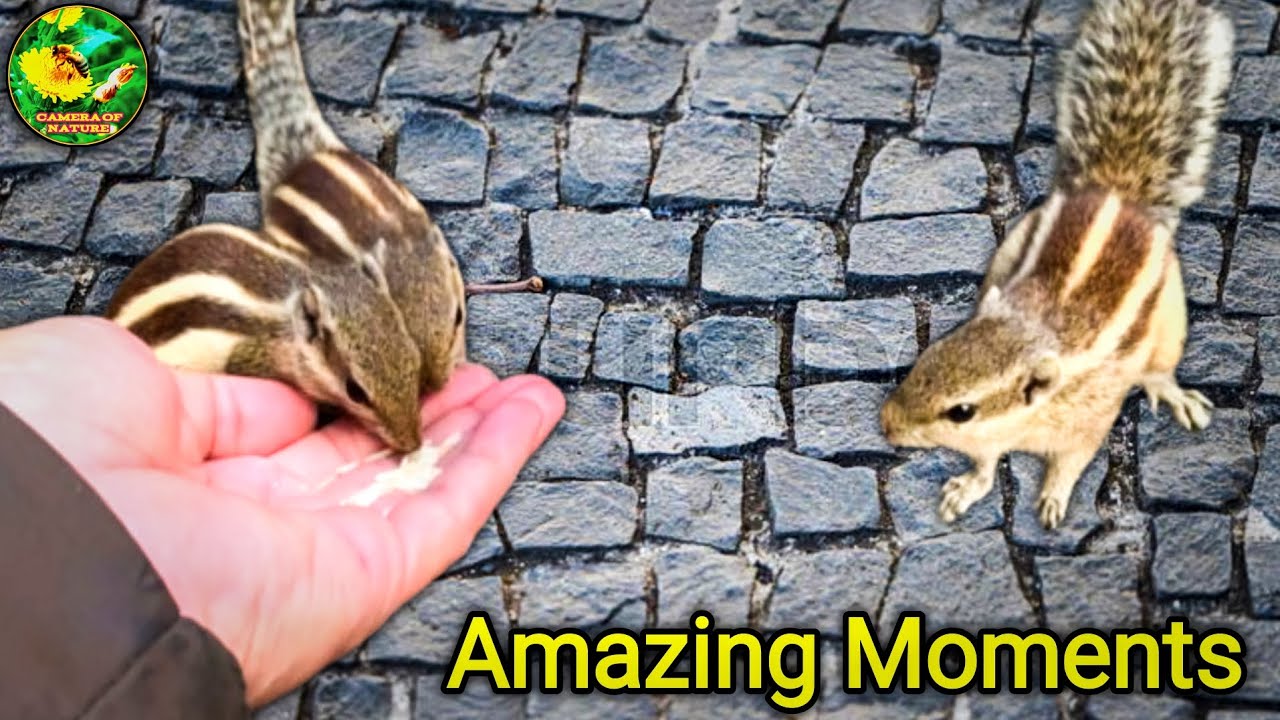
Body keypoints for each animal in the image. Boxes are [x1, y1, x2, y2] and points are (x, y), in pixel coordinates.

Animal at [880, 0, 1234, 529]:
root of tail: (1115, 189)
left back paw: (1172, 391)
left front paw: (1052, 499)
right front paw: (967, 489)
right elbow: (986, 467)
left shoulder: (1090, 420)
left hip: (1171, 314)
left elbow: (1072, 462)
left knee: (1160, 365)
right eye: (924, 360)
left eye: (961, 411)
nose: (886, 424)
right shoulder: (993, 441)